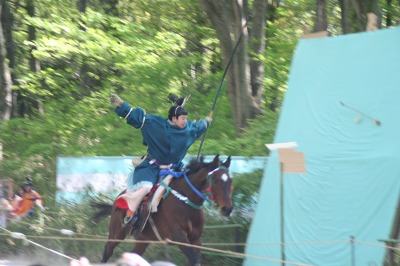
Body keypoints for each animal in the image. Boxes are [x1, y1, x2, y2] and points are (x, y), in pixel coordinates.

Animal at [94, 155, 234, 264]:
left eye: (230, 180)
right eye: (216, 181)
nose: (227, 208)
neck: (185, 200)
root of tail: (117, 200)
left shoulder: (196, 240)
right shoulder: (179, 237)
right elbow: (195, 260)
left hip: (143, 239)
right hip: (116, 233)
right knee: (107, 252)